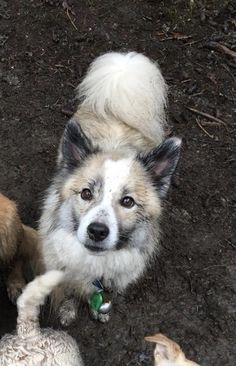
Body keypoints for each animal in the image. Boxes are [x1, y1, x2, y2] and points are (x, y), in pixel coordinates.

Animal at [39, 50, 182, 324]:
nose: (97, 231)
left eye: (128, 201)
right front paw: (67, 312)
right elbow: (69, 292)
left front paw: (99, 311)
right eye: (86, 193)